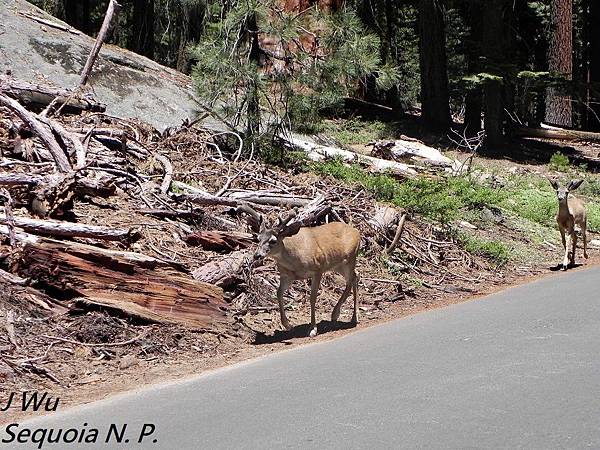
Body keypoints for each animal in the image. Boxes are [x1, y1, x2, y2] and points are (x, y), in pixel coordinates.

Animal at [245, 207, 360, 338]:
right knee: (356, 276)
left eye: (273, 241)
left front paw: (313, 329)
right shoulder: (286, 275)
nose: (257, 255)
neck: (294, 260)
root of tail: (356, 231)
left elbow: (312, 297)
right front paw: (288, 325)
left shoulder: (318, 269)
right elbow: (279, 293)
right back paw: (350, 316)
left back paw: (339, 315)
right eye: (258, 239)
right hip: (338, 265)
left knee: (350, 280)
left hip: (349, 259)